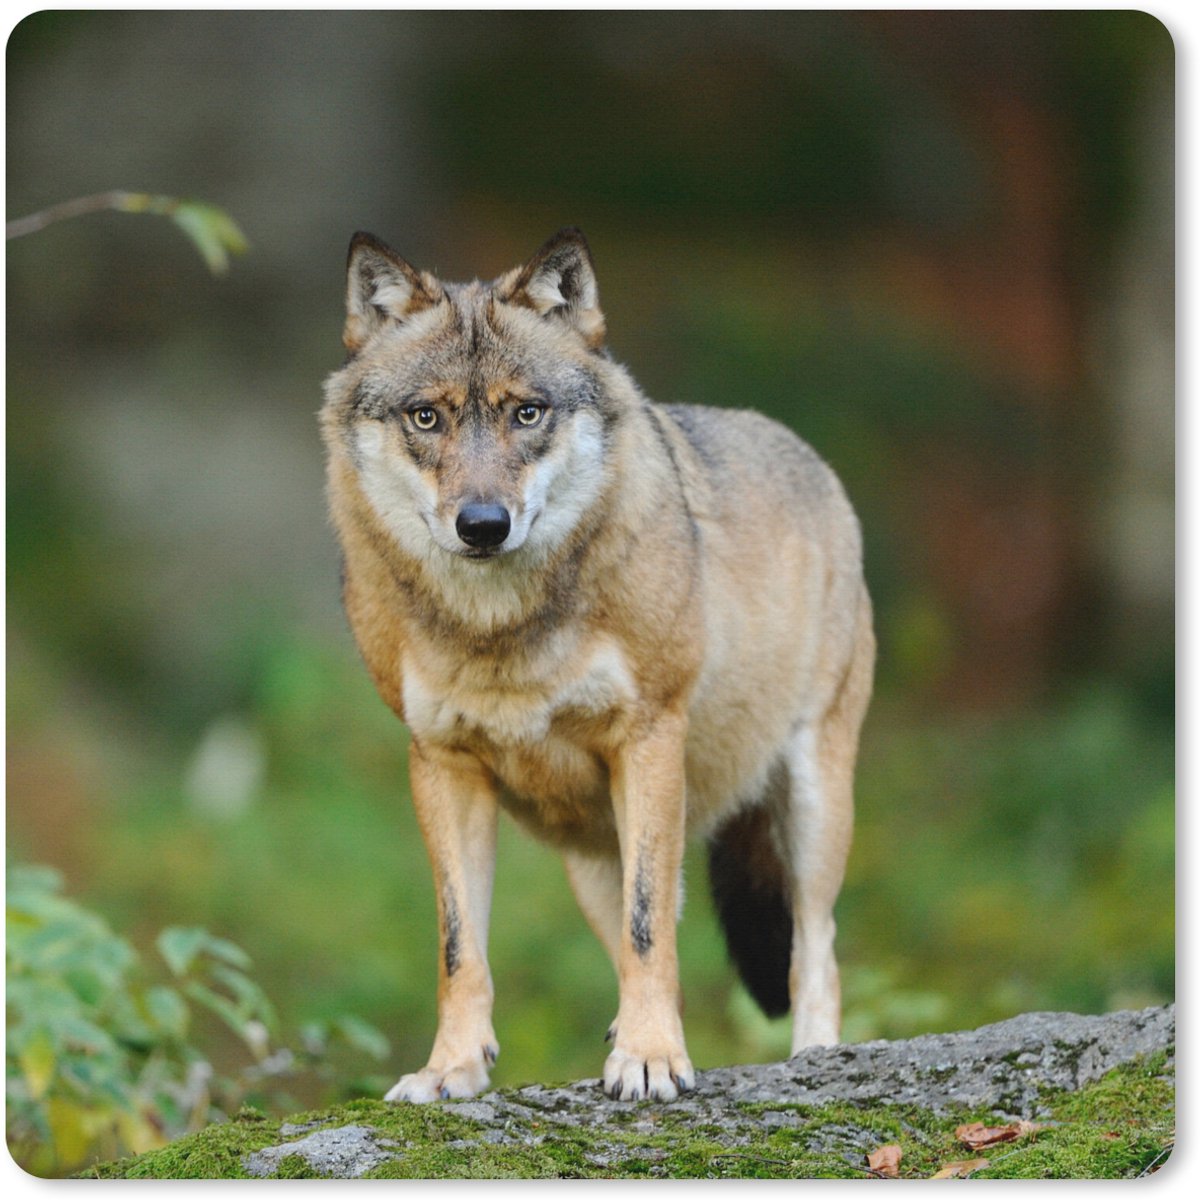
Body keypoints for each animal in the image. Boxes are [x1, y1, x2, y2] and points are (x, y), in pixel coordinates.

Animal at [320, 228, 874, 1103]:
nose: (483, 525)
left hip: (812, 803)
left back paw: (810, 1059)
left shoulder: (648, 737)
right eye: (426, 417)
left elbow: (651, 933)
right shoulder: (440, 764)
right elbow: (460, 947)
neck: (501, 634)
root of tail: (808, 455)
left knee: (813, 948)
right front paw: (451, 1070)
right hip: (590, 858)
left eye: (527, 412)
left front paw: (649, 1060)